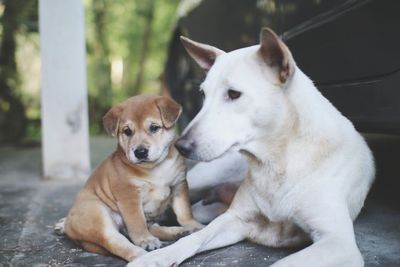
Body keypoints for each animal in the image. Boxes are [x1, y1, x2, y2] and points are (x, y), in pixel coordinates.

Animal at [56, 96, 203, 262]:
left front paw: (193, 226)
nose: (140, 152)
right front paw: (145, 240)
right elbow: (137, 222)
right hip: (98, 216)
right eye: (127, 131)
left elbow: (185, 211)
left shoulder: (179, 184)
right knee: (117, 242)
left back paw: (177, 231)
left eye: (154, 128)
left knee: (149, 228)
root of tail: (69, 226)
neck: (155, 168)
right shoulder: (129, 195)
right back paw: (144, 255)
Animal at [129, 28, 376, 267]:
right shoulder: (234, 219)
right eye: (203, 95)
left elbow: (284, 264)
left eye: (233, 94)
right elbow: (194, 238)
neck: (278, 161)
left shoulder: (338, 243)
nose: (180, 146)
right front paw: (155, 258)